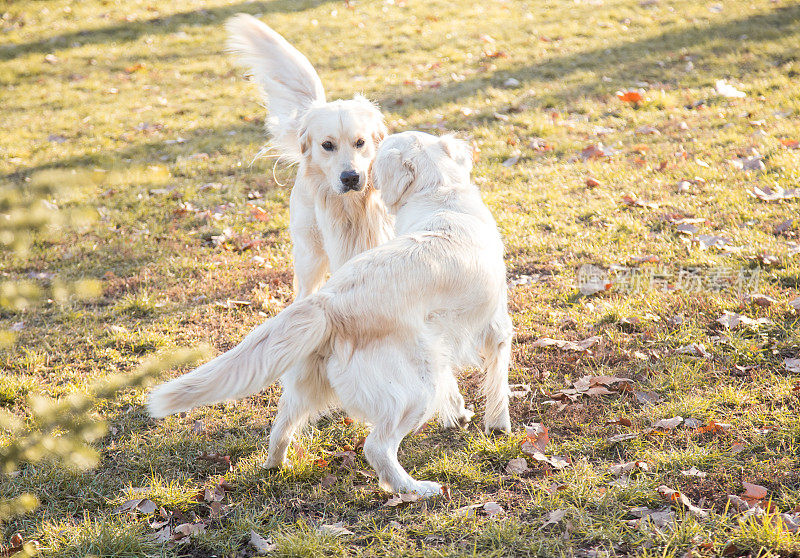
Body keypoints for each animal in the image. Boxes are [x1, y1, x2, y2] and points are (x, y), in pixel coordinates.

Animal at [149, 133, 512, 496]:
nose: (359, 176)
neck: (439, 193)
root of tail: (329, 302)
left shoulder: (442, 339)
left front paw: (459, 412)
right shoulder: (496, 327)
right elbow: (498, 381)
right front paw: (498, 425)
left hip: (307, 386)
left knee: (280, 429)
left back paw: (275, 466)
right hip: (415, 390)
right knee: (377, 447)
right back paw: (416, 488)